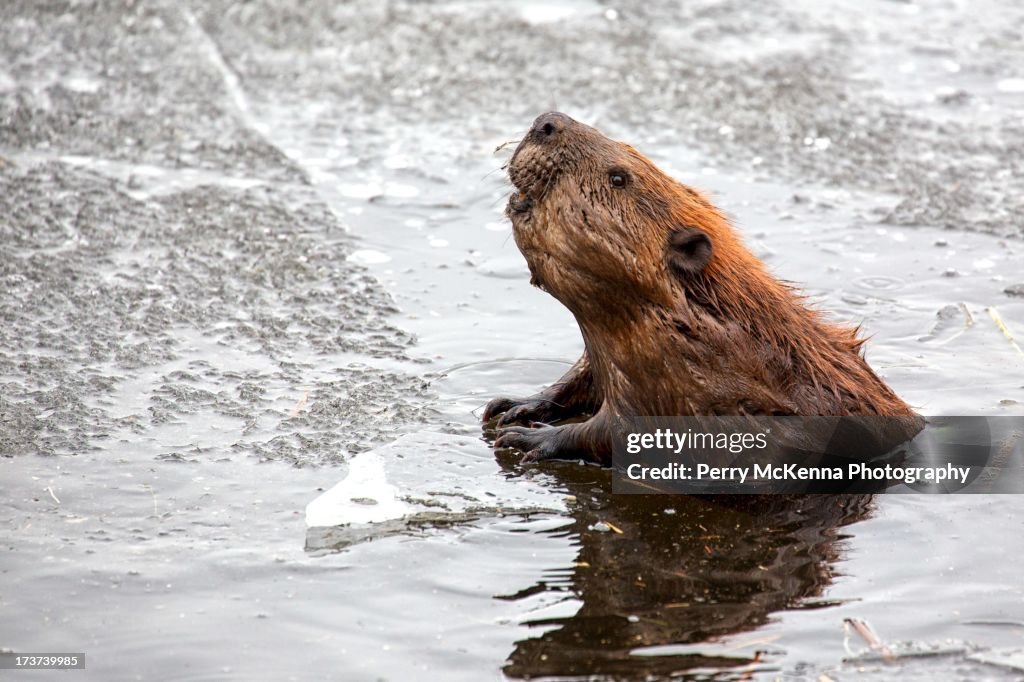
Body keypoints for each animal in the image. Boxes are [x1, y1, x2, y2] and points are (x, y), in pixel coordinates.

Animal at [483, 111, 917, 464]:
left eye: (619, 177)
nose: (547, 122)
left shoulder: (673, 379)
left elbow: (622, 432)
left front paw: (526, 438)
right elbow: (579, 377)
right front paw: (510, 405)